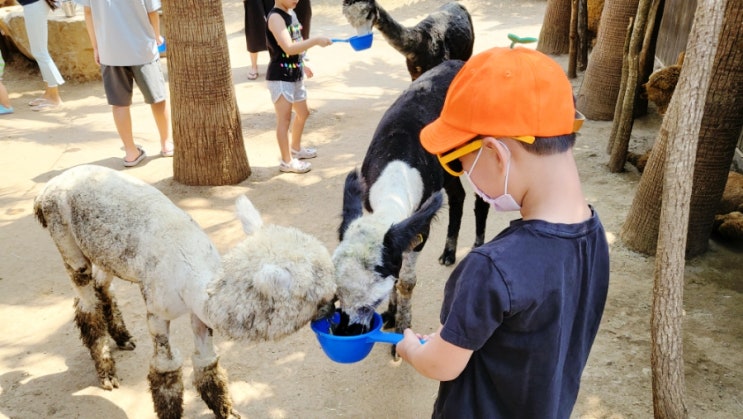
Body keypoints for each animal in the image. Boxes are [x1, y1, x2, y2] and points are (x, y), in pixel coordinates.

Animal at [33, 164, 336, 419]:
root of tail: (46, 189)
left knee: (102, 287)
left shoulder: (199, 315)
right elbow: (166, 371)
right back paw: (106, 371)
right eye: (317, 294)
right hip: (65, 237)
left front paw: (226, 411)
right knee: (86, 302)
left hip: (106, 252)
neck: (193, 280)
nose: (334, 303)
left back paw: (122, 337)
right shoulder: (157, 309)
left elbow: (206, 364)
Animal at [332, 60, 486, 354]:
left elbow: (406, 280)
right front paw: (392, 315)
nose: (345, 331)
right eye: (336, 293)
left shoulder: (419, 226)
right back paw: (449, 252)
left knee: (482, 197)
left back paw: (478, 245)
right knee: (457, 195)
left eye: (370, 302)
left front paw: (401, 333)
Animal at [342, 0, 474, 81]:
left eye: (368, 14)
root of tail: (456, 3)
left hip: (467, 51)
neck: (421, 44)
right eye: (349, 19)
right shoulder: (414, 75)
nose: (362, 35)